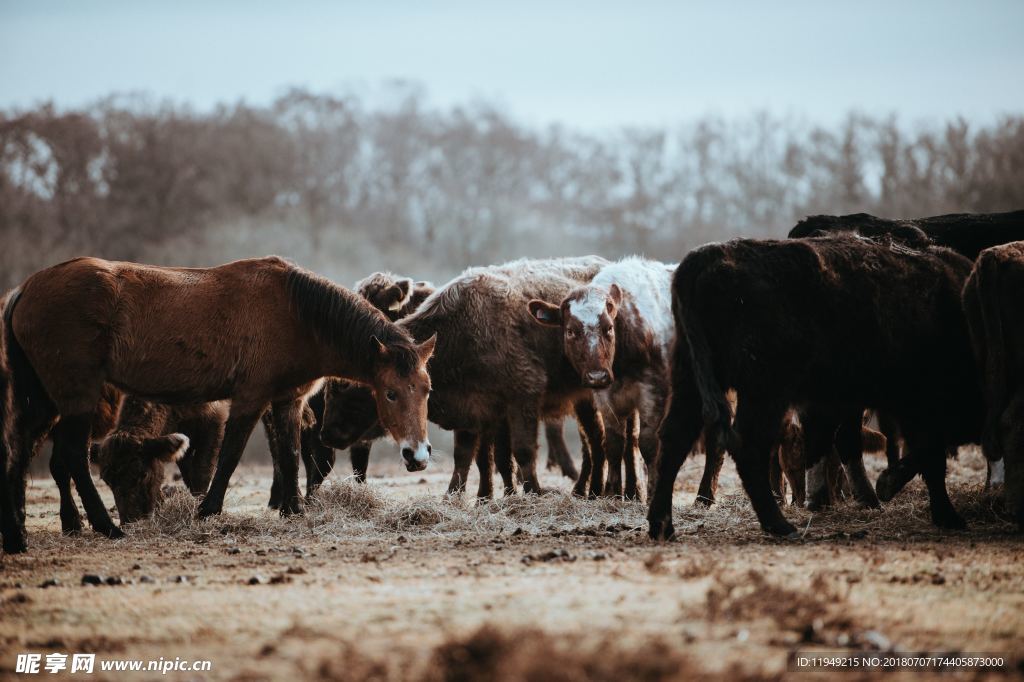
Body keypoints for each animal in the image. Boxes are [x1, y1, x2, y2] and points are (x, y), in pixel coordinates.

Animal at [0, 254, 434, 552]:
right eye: (391, 392)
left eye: (426, 388)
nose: (417, 455)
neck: (297, 314)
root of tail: (25, 289)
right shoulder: (249, 399)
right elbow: (229, 457)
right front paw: (208, 510)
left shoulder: (287, 402)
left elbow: (290, 455)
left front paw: (293, 510)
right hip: (77, 397)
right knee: (72, 457)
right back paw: (108, 527)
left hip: (45, 400)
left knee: (22, 453)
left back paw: (19, 535)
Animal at [321, 258, 606, 497]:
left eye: (346, 388)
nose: (327, 434)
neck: (461, 331)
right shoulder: (475, 410)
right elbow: (473, 456)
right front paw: (468, 496)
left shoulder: (521, 397)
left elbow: (521, 452)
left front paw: (529, 493)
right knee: (592, 440)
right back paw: (584, 489)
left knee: (595, 439)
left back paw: (592, 490)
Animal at [651, 236, 978, 540]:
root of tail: (709, 255)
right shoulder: (920, 401)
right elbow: (930, 453)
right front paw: (945, 514)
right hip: (764, 391)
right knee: (747, 445)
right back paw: (780, 525)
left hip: (692, 379)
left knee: (675, 437)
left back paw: (662, 527)